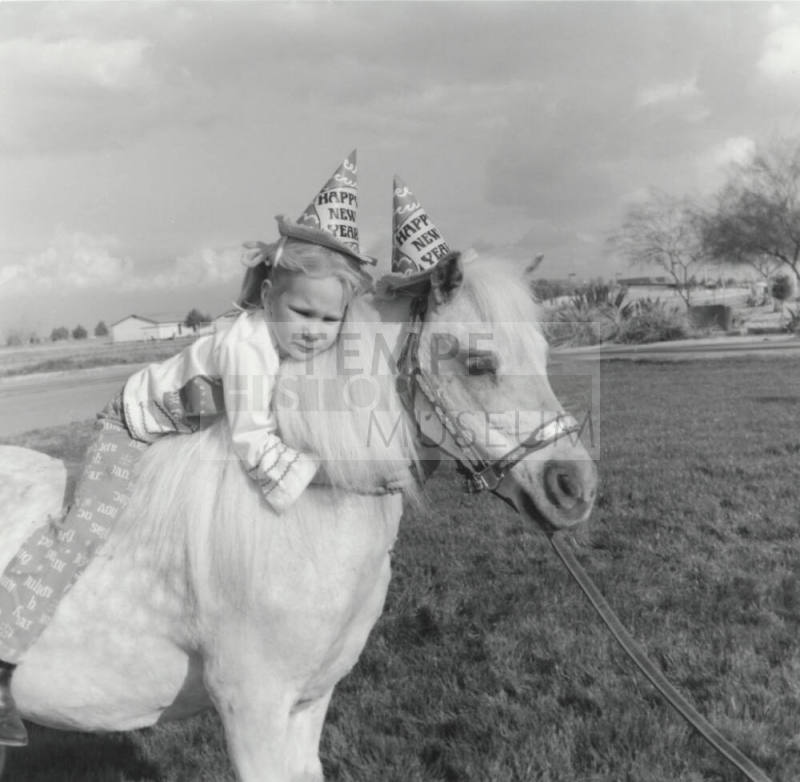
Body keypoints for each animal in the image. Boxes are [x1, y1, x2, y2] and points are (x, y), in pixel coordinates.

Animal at [0, 251, 597, 781]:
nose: (575, 486)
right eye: (478, 362)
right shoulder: (251, 710)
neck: (296, 526)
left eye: (542, 351)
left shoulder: (310, 701)